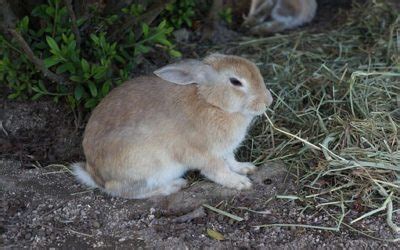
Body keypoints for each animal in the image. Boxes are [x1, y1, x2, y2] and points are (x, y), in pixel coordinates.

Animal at [72, 53, 274, 199]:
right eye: (235, 82)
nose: (268, 101)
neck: (211, 102)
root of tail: (95, 176)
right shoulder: (204, 154)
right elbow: (218, 170)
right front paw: (241, 183)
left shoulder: (225, 150)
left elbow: (231, 160)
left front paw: (246, 168)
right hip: (146, 167)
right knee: (124, 191)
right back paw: (174, 186)